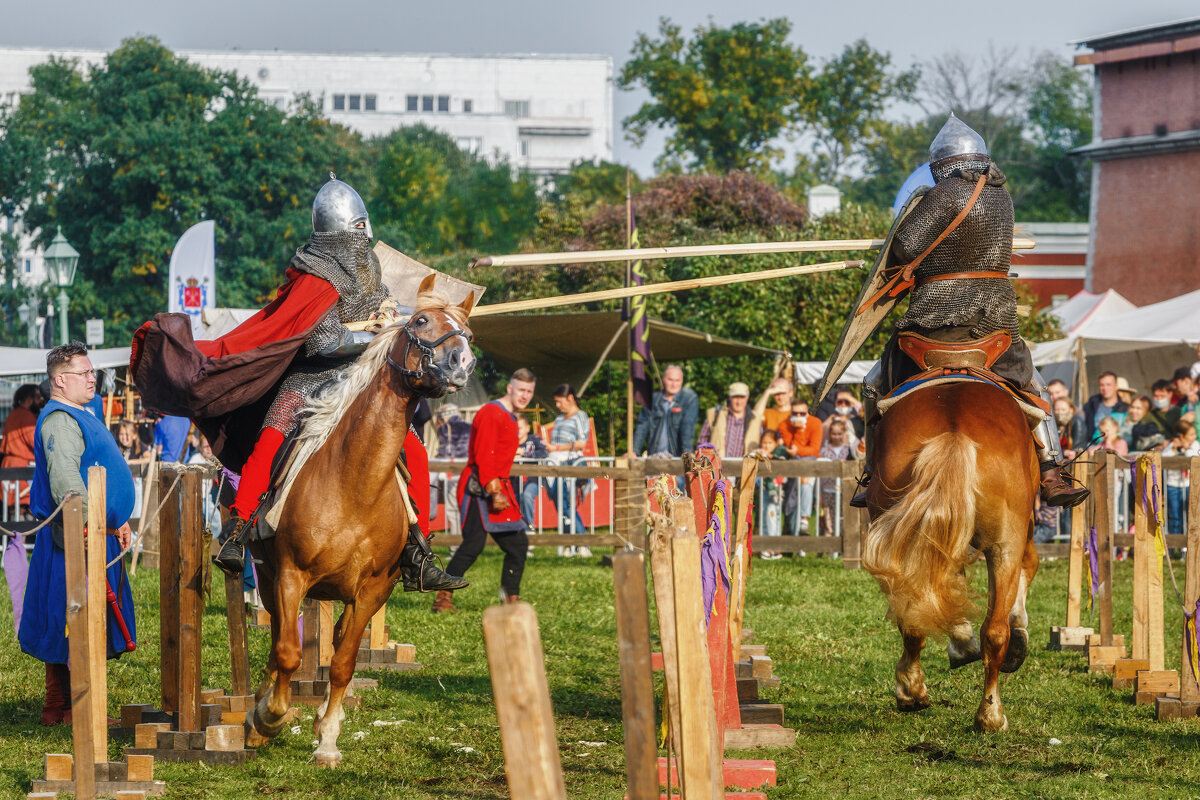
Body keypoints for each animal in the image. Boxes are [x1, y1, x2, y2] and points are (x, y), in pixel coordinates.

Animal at [242, 278, 472, 767]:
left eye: (469, 332)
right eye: (420, 321)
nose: (462, 362)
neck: (354, 483)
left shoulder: (373, 590)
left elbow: (344, 662)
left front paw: (327, 739)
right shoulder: (290, 576)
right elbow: (289, 652)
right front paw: (269, 716)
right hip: (269, 579)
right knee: (277, 642)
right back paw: (259, 712)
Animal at [864, 381, 1041, 734]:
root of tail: (954, 431)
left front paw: (961, 640)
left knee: (915, 618)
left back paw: (920, 693)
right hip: (1005, 543)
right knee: (995, 627)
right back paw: (987, 713)